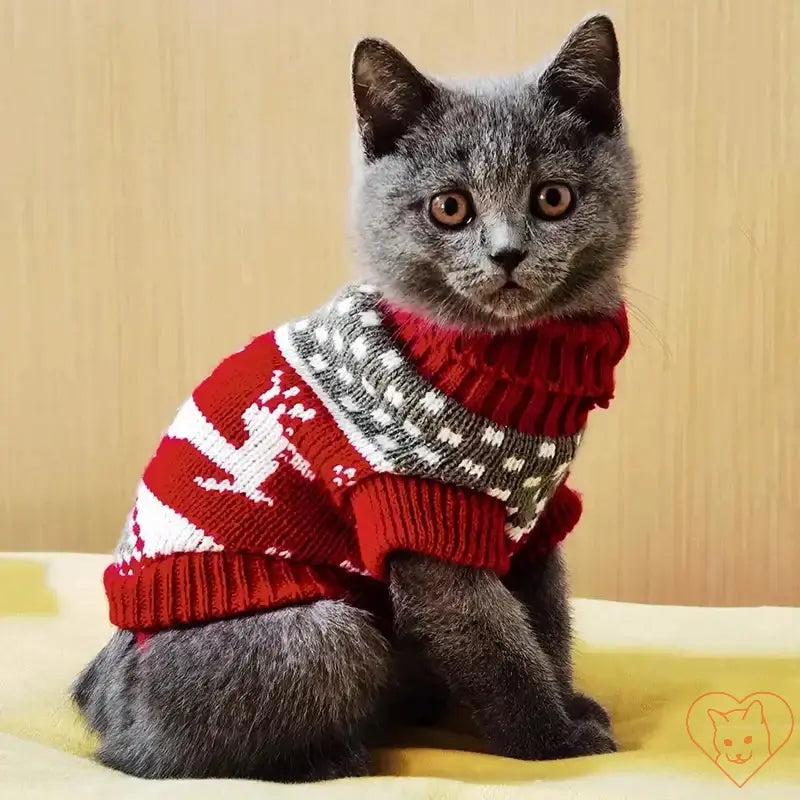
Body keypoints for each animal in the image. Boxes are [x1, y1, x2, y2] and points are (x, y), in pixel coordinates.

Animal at [72, 14, 636, 780]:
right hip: (325, 631)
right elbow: (499, 650)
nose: (507, 253)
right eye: (450, 207)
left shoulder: (535, 520)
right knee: (176, 755)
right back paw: (342, 756)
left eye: (553, 197)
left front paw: (572, 703)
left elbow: (548, 623)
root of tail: (105, 702)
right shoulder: (420, 515)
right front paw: (552, 742)